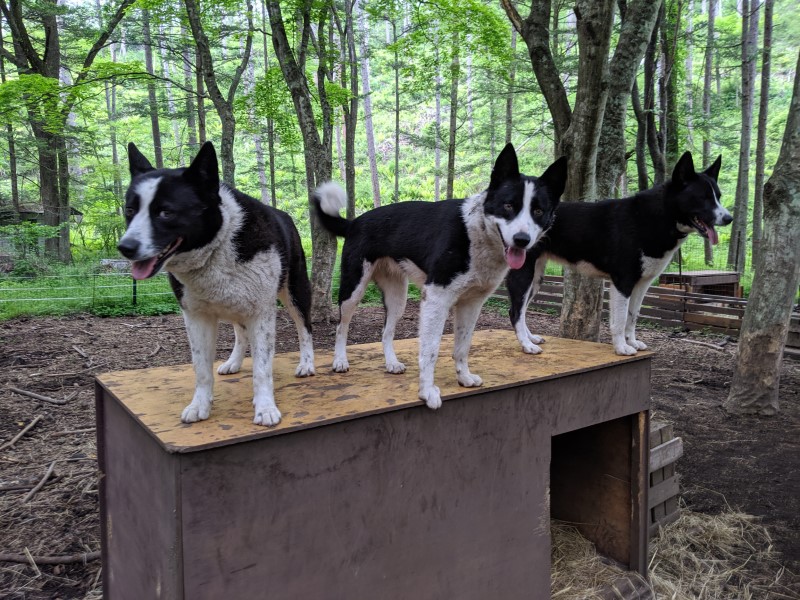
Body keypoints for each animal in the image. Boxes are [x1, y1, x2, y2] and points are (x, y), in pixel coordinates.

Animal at [116, 142, 316, 426]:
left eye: (166, 212)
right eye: (130, 211)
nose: (126, 247)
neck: (218, 245)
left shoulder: (262, 313)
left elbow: (262, 368)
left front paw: (265, 408)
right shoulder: (196, 317)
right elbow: (201, 369)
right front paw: (200, 405)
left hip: (294, 291)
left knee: (304, 327)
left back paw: (307, 364)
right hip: (234, 304)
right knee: (240, 333)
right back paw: (233, 362)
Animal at [310, 143, 564, 410]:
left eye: (538, 211)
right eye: (508, 206)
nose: (522, 240)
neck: (476, 233)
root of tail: (354, 222)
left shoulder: (471, 303)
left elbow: (462, 346)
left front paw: (464, 378)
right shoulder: (436, 298)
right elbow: (430, 350)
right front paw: (427, 392)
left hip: (397, 297)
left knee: (386, 331)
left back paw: (391, 363)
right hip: (353, 289)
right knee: (342, 326)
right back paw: (339, 360)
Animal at [506, 151, 732, 356]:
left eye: (718, 197)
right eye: (703, 198)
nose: (729, 218)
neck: (654, 216)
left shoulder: (642, 284)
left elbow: (632, 316)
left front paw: (631, 342)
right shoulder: (622, 282)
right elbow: (621, 319)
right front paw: (622, 348)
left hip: (536, 278)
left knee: (521, 310)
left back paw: (531, 338)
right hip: (524, 274)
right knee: (515, 311)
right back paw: (526, 345)